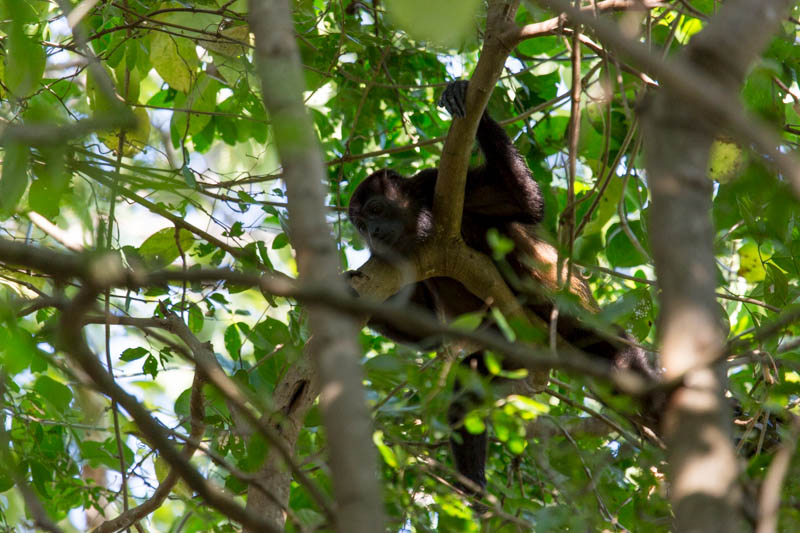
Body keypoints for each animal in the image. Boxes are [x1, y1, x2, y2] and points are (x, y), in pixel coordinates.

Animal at [346, 81, 652, 492]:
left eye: (377, 210)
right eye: (361, 226)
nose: (375, 235)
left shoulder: (438, 183)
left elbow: (525, 205)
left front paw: (464, 98)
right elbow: (429, 334)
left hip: (584, 327)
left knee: (621, 358)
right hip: (506, 359)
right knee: (466, 392)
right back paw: (473, 483)